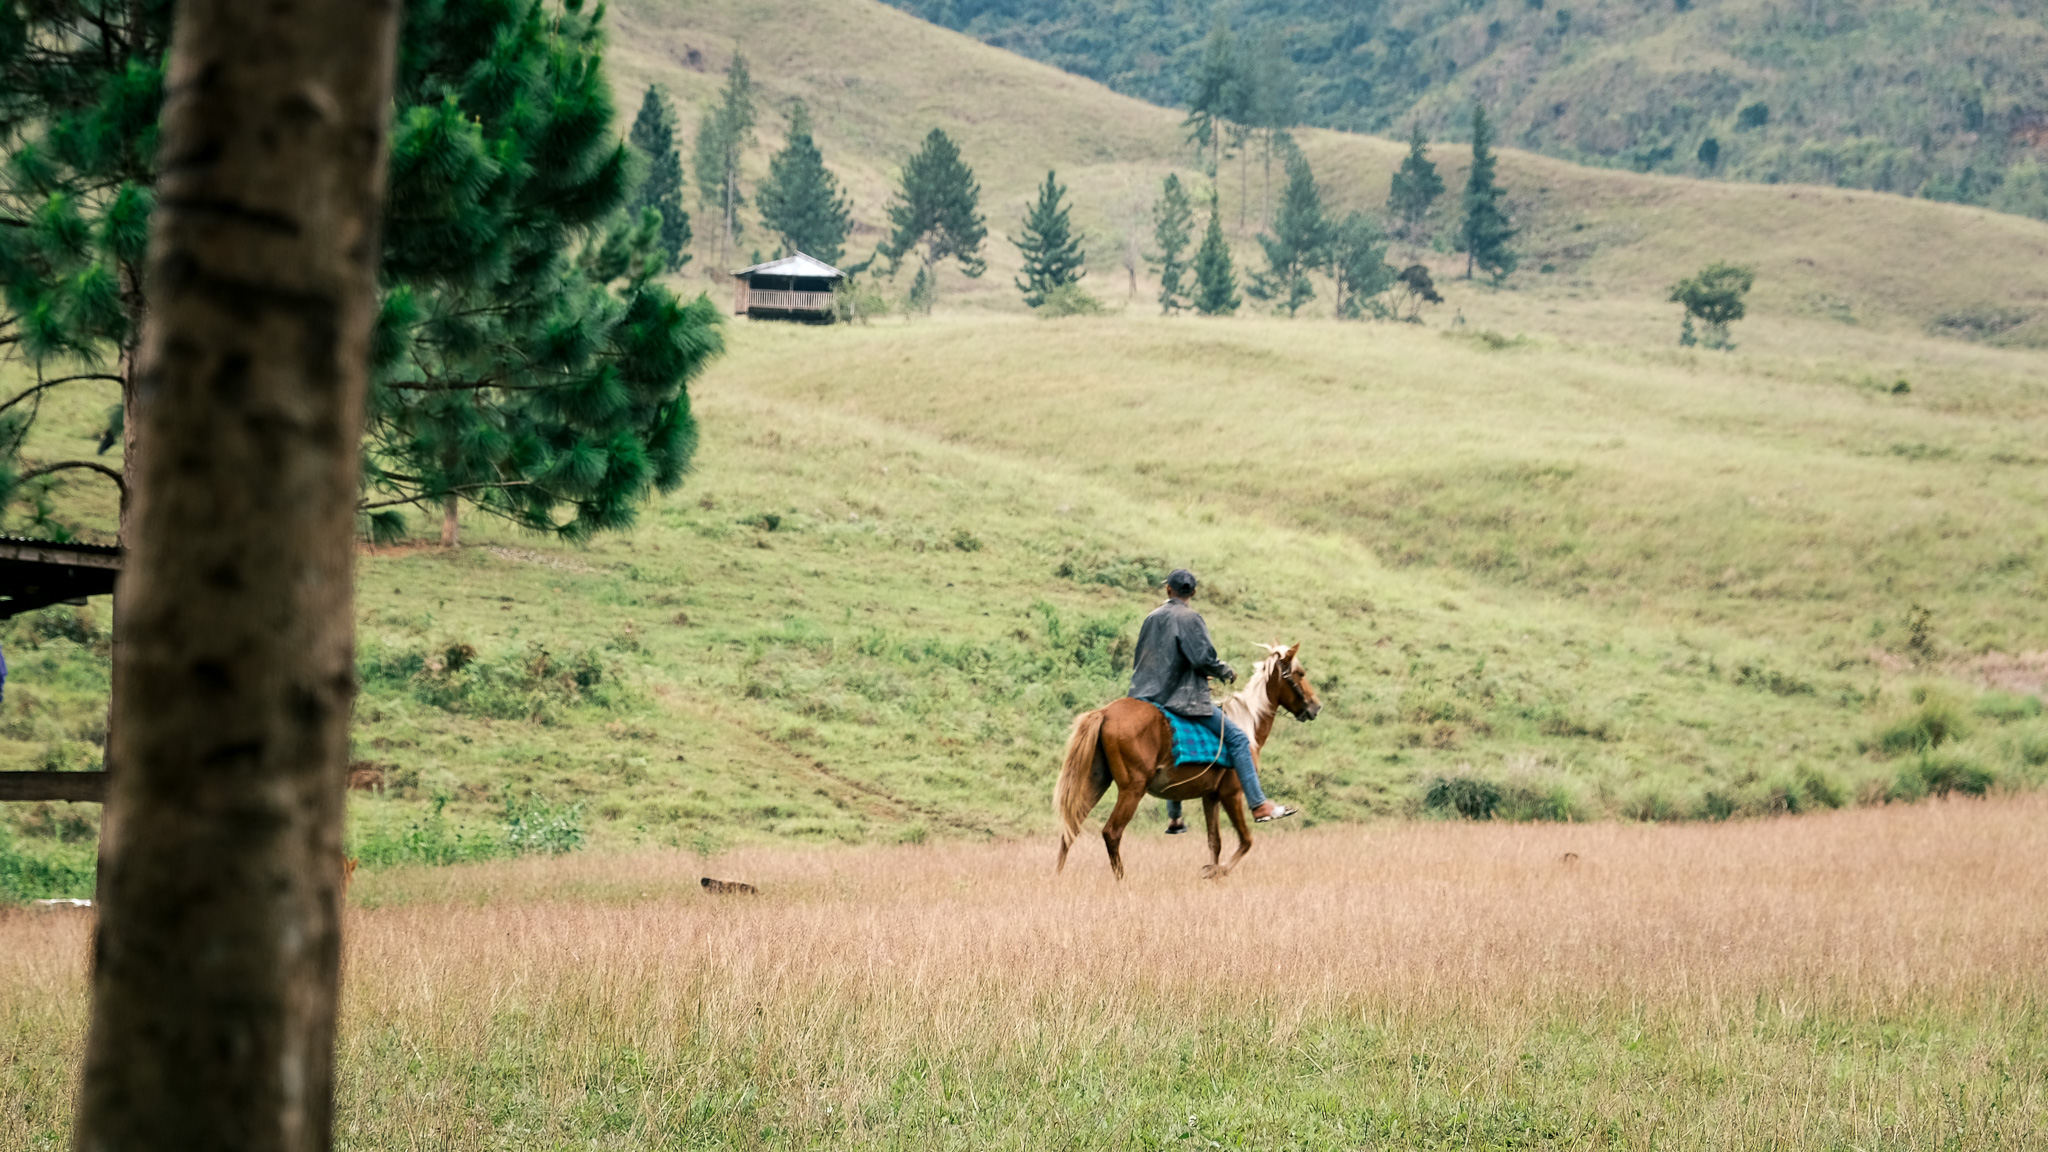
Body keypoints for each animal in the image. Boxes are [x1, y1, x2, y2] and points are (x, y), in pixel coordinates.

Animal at [1056, 635, 1327, 877]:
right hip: (1132, 789)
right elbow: (1245, 841)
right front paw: (1218, 871)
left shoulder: (1210, 797)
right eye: (1300, 673)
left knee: (1070, 826)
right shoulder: (1231, 793)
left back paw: (1058, 875)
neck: (1248, 722)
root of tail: (1104, 713)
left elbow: (1215, 842)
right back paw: (1121, 880)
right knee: (1111, 832)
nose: (1316, 706)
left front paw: (1212, 873)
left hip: (1096, 781)